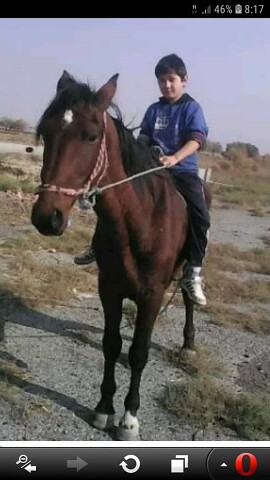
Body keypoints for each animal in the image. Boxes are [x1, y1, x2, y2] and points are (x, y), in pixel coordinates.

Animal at [31, 70, 209, 438]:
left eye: (91, 136)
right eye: (46, 132)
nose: (47, 217)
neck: (138, 220)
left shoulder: (152, 295)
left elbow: (140, 352)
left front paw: (128, 418)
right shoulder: (109, 289)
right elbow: (111, 345)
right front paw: (103, 409)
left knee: (187, 297)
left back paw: (188, 342)